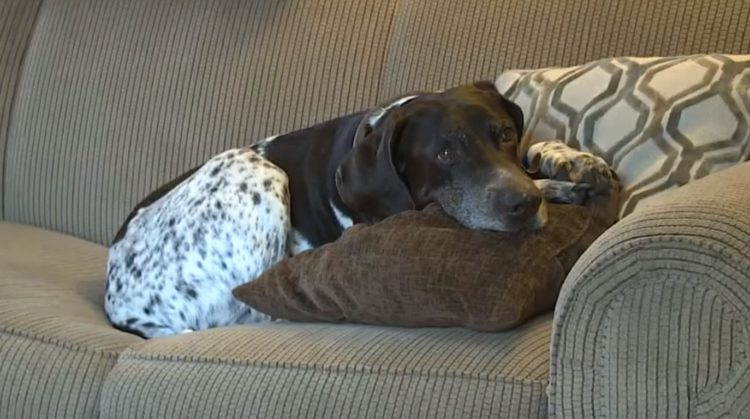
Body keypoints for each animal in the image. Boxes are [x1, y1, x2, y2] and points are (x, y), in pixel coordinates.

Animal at [103, 81, 616, 338]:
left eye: (505, 134)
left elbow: (540, 155)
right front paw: (554, 183)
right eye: (445, 153)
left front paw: (570, 160)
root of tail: (118, 303)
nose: (522, 204)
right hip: (251, 167)